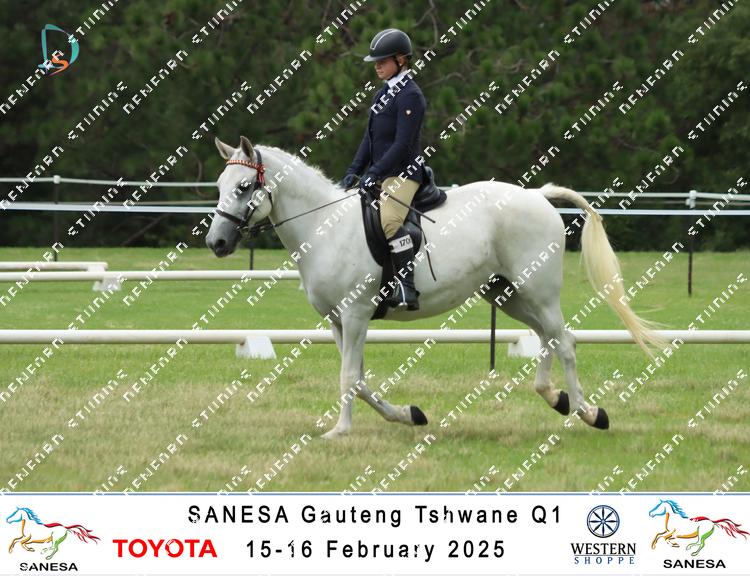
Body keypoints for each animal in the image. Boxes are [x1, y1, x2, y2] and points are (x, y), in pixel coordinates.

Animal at [206, 136, 664, 439]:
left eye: (245, 188)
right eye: (220, 187)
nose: (217, 243)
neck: (324, 226)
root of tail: (537, 195)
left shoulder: (355, 315)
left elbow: (349, 376)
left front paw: (339, 431)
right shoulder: (338, 320)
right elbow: (360, 379)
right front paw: (409, 415)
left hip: (537, 291)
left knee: (565, 341)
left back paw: (590, 413)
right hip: (509, 294)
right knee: (549, 338)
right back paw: (556, 398)